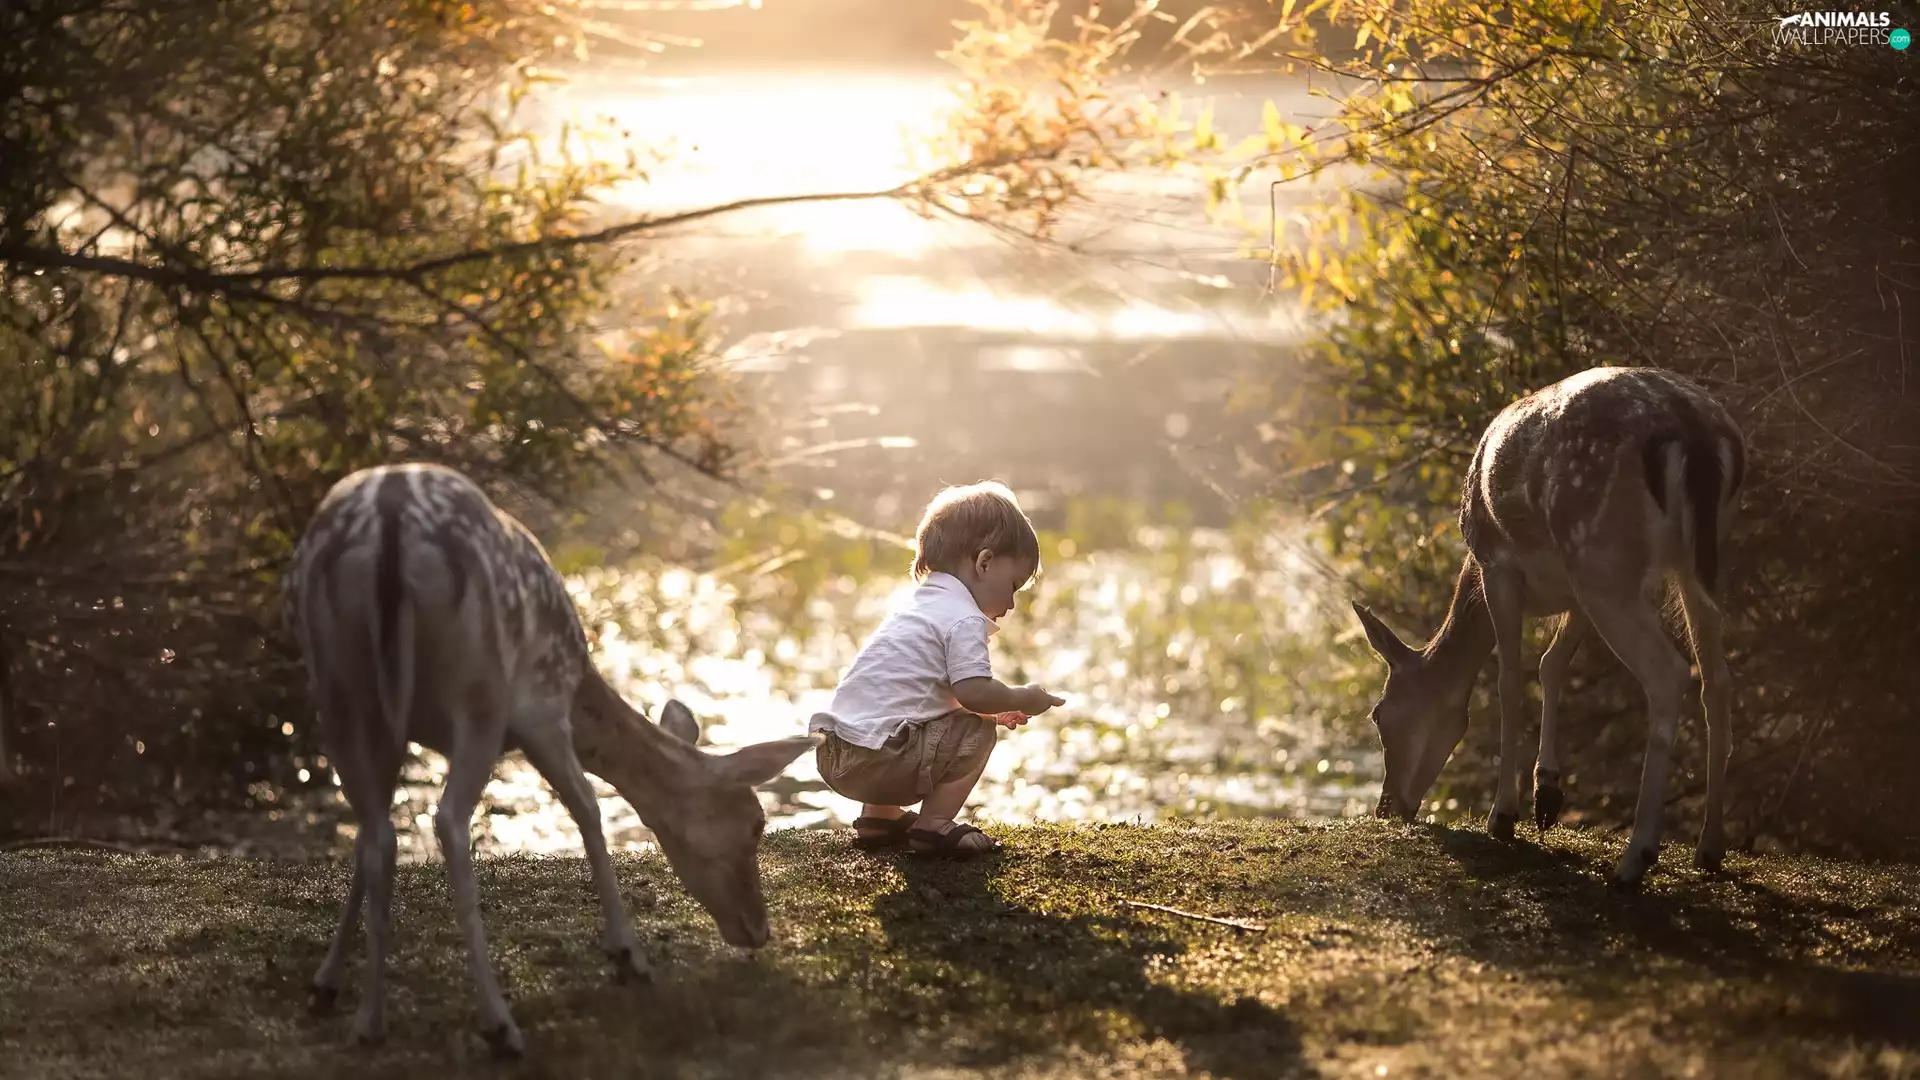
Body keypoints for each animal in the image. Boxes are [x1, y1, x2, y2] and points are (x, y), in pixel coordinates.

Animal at [282, 462, 817, 1056]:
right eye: (754, 823)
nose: (759, 930)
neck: (581, 690)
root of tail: (390, 523)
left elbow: (363, 845)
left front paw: (325, 983)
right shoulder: (543, 709)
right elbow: (588, 807)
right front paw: (627, 955)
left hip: (336, 684)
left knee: (379, 836)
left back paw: (368, 1020)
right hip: (481, 691)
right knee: (448, 822)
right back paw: (498, 1024)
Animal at [1348, 366, 1746, 887]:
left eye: (1378, 714)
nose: (1387, 807)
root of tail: (1694, 429)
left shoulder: (1499, 566)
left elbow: (1509, 680)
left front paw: (1503, 816)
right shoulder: (1574, 595)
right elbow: (1551, 665)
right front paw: (1547, 796)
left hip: (1600, 552)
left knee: (1669, 673)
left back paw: (1635, 858)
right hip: (1700, 561)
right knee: (1716, 679)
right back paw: (1710, 848)